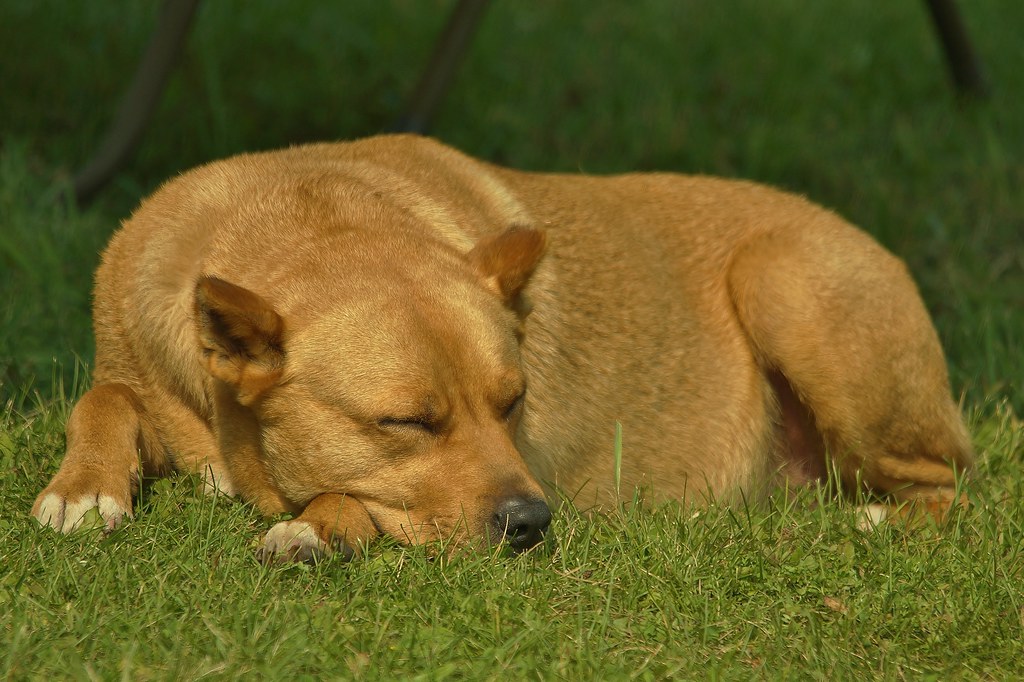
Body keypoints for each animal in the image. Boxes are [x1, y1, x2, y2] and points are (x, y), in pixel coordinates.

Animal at [32, 137, 970, 557]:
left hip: (784, 282)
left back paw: (881, 519)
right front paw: (84, 487)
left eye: (514, 402)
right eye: (406, 422)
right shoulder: (135, 373)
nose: (533, 522)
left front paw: (318, 526)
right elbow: (102, 396)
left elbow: (350, 497)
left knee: (949, 485)